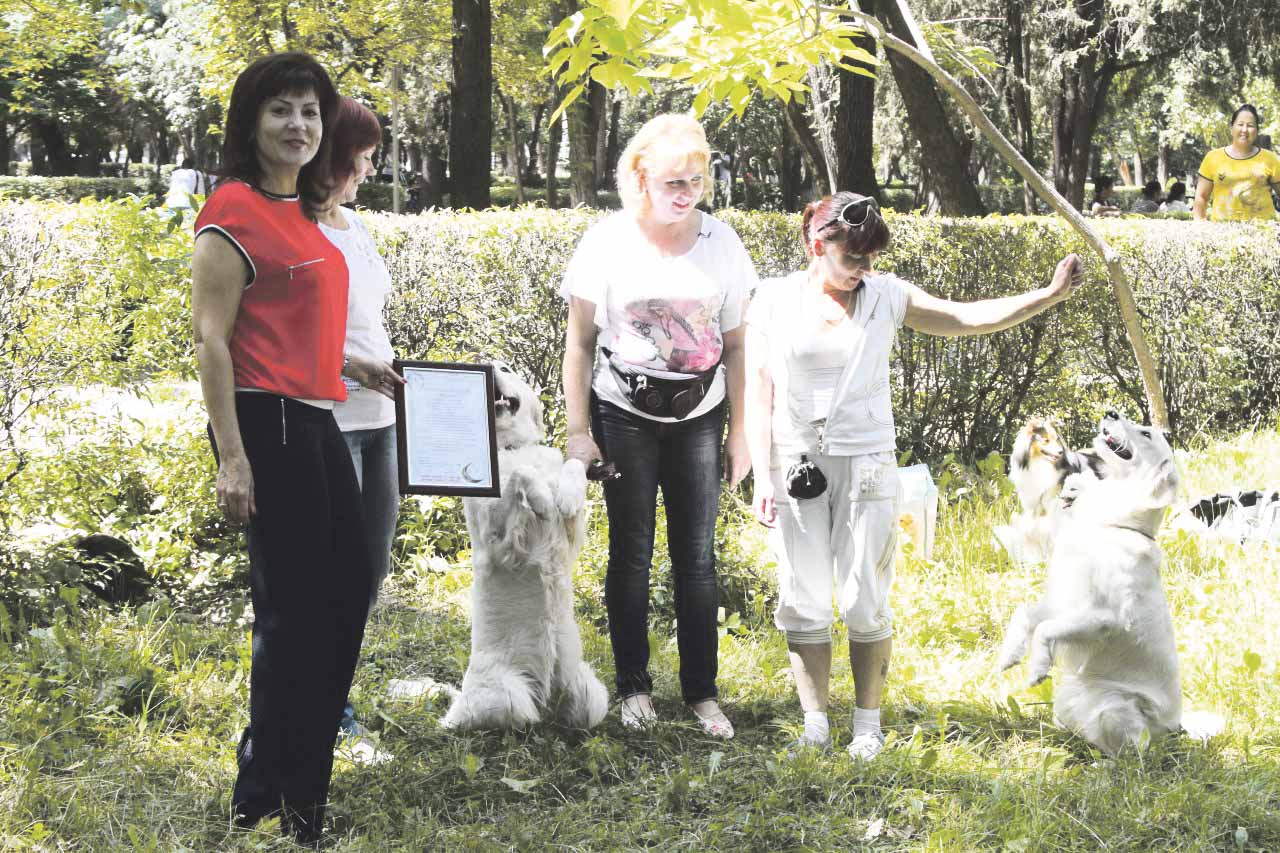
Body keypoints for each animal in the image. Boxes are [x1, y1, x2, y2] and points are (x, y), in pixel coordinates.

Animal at [441, 363, 609, 731]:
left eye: (505, 367)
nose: (488, 365)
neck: (510, 446)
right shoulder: (496, 539)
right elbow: (520, 474)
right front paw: (543, 500)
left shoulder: (572, 531)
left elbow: (570, 468)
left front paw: (563, 496)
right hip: (508, 695)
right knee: (522, 717)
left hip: (592, 696)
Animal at [998, 417, 1106, 563]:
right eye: (1046, 440)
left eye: (1056, 439)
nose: (1060, 452)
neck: (1040, 465)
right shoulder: (1034, 507)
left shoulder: (1053, 506)